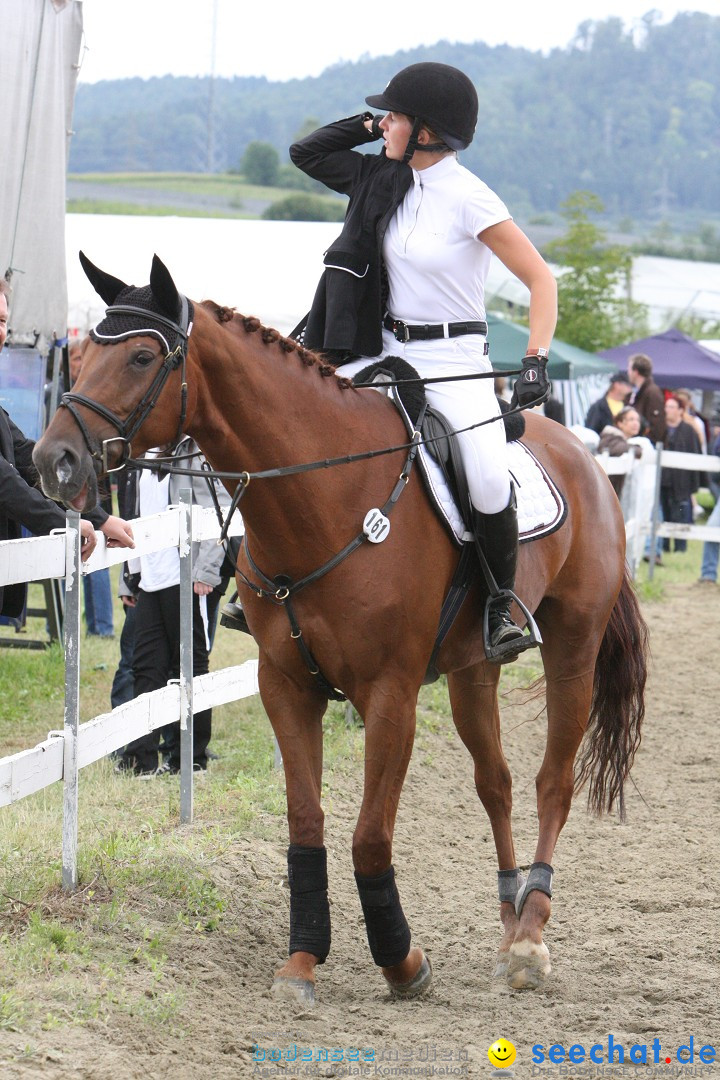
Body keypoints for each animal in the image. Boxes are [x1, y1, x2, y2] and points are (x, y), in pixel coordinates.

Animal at [32, 257, 647, 997]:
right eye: (84, 355)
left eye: (143, 357)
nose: (53, 461)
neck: (321, 496)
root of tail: (586, 457)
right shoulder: (286, 685)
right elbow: (306, 820)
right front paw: (303, 959)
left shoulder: (390, 696)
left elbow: (370, 834)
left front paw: (402, 961)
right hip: (473, 672)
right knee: (494, 781)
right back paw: (508, 918)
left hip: (574, 651)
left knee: (552, 781)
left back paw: (529, 935)